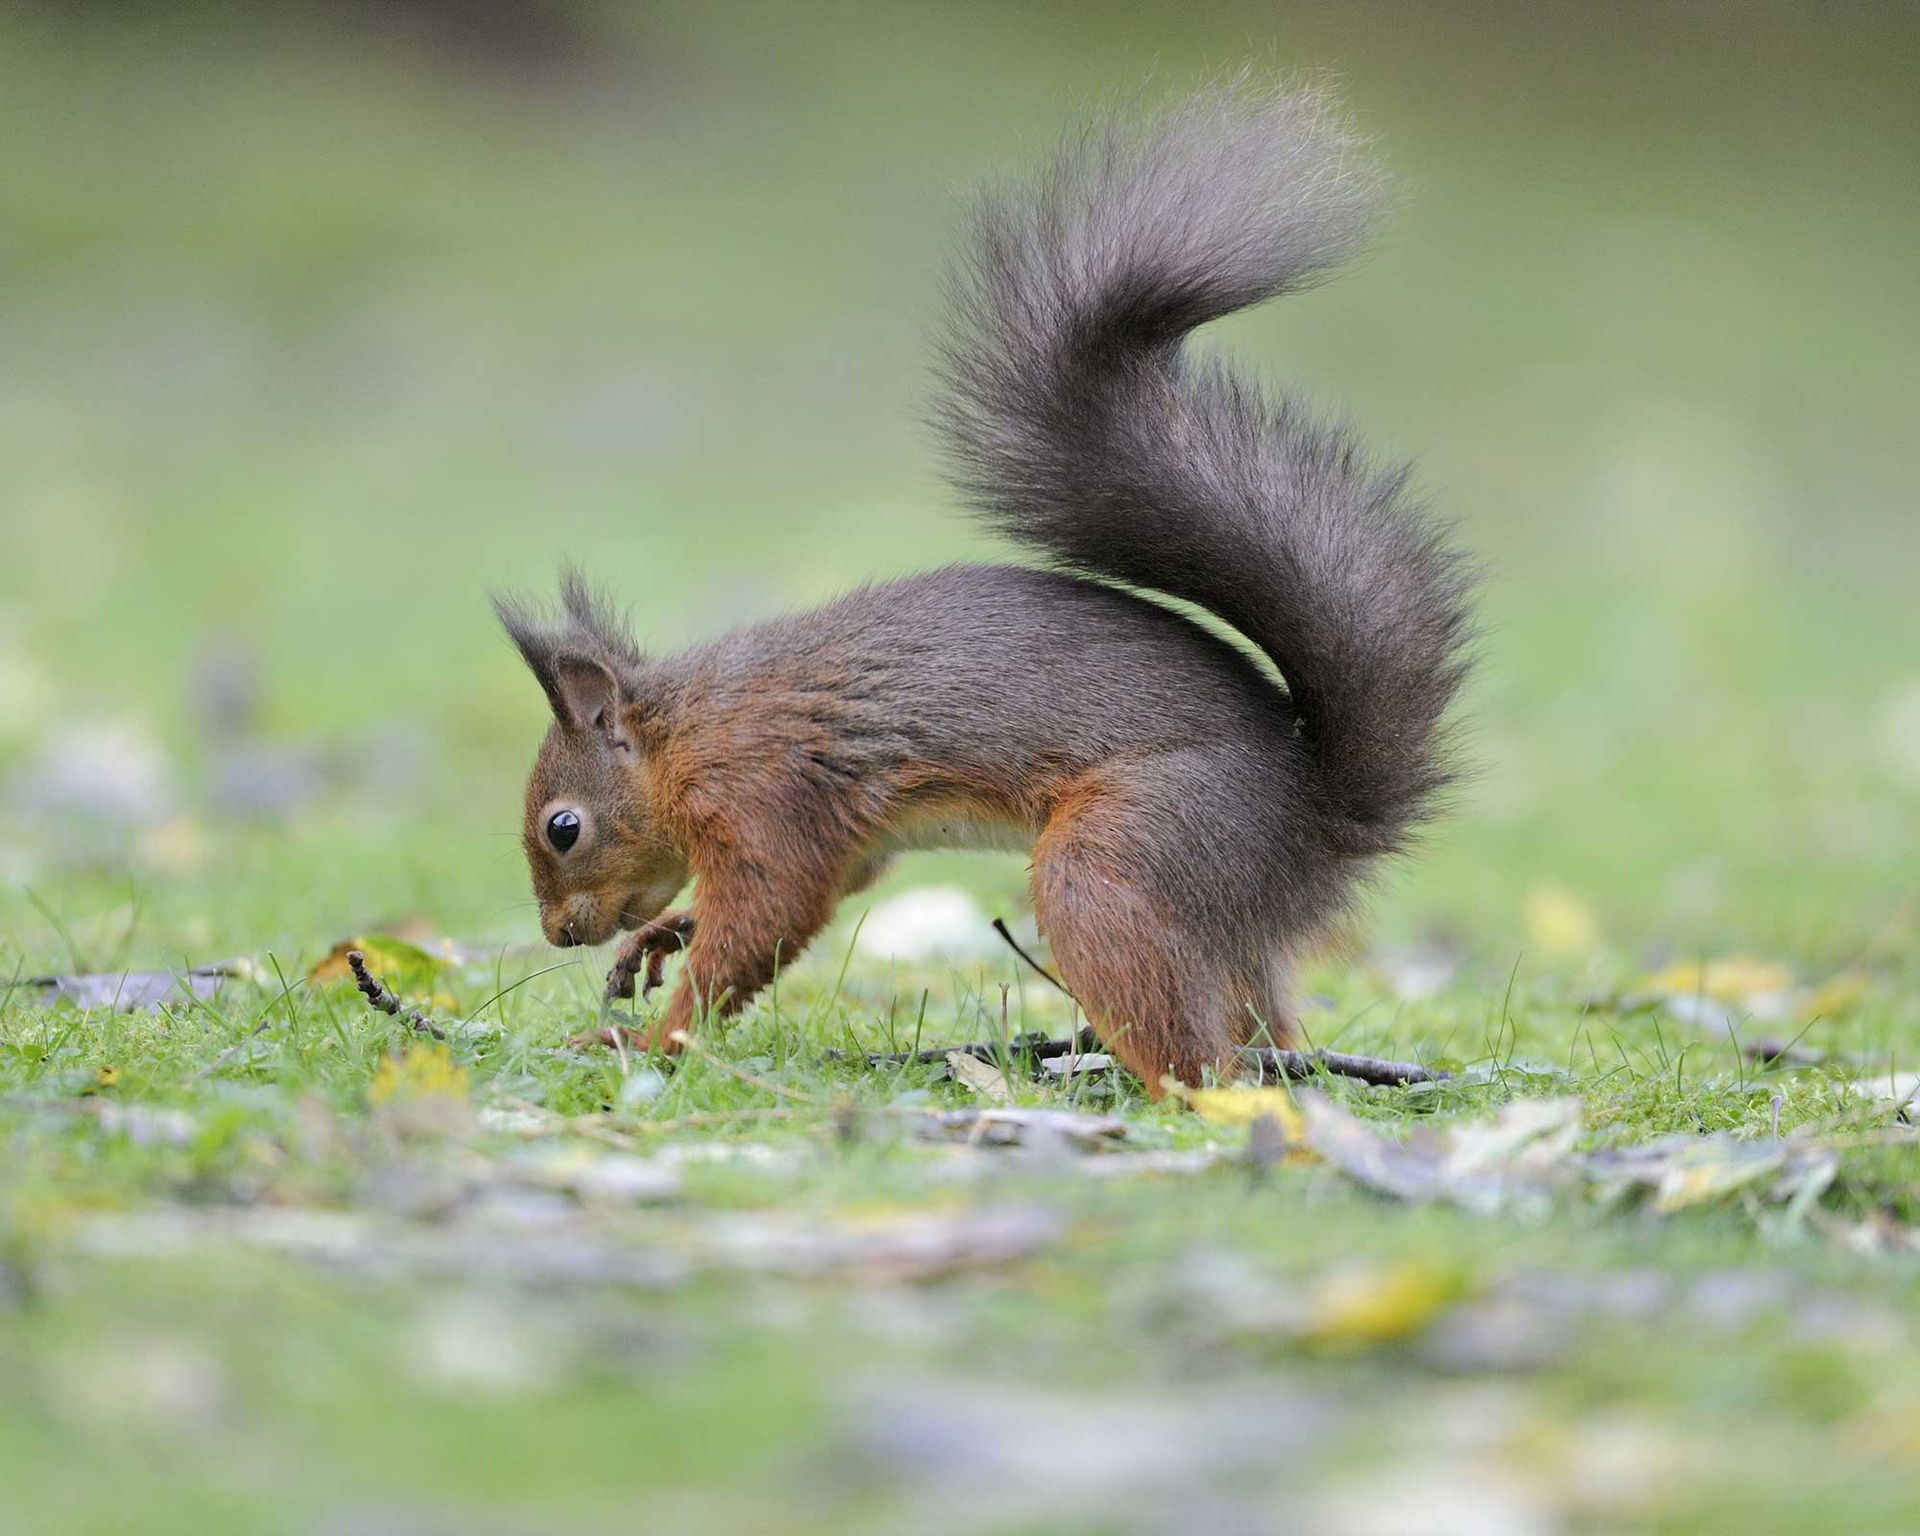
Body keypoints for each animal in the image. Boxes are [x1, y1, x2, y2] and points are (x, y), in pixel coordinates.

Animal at [495, 81, 1475, 1096]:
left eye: (563, 827)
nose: (557, 933)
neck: (685, 733)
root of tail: (1317, 825)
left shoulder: (763, 792)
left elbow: (765, 918)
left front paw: (648, 1043)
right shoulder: (849, 834)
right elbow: (828, 886)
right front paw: (660, 936)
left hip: (1121, 859)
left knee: (1198, 1054)